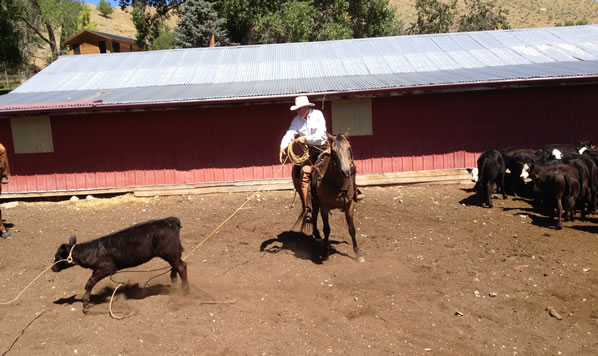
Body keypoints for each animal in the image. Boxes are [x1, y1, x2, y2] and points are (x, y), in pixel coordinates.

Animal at [296, 129, 366, 262]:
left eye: (349, 147)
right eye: (334, 151)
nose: (346, 171)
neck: (337, 183)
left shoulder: (349, 205)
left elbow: (352, 229)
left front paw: (358, 253)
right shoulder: (324, 207)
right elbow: (327, 229)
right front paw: (325, 252)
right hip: (313, 201)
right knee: (313, 215)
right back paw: (317, 235)